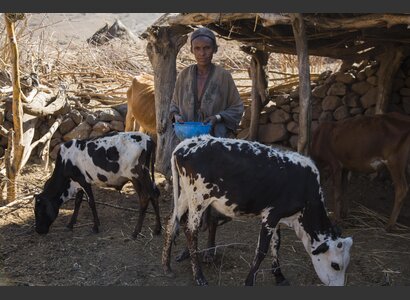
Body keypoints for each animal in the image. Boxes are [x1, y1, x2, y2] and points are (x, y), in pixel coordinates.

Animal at [162, 135, 354, 286]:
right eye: (335, 265)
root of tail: (185, 144)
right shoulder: (271, 215)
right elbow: (262, 250)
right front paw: (249, 281)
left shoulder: (277, 218)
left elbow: (276, 244)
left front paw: (279, 276)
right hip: (198, 198)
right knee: (190, 231)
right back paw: (199, 277)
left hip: (184, 195)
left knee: (171, 223)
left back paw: (166, 266)